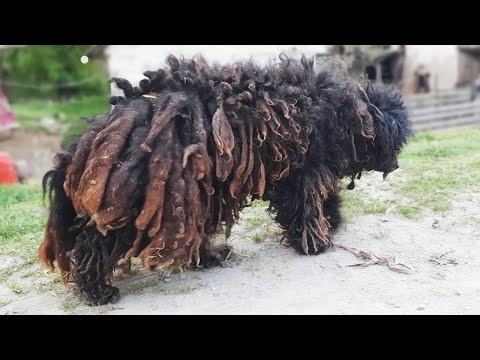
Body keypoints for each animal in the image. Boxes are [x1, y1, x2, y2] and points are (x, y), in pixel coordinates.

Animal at [38, 54, 412, 306]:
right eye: (397, 141)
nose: (395, 164)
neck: (337, 107)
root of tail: (94, 133)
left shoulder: (301, 169)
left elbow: (318, 198)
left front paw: (331, 220)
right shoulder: (303, 169)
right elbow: (305, 206)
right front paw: (315, 242)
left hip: (195, 192)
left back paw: (210, 255)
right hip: (142, 196)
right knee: (97, 241)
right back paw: (96, 289)